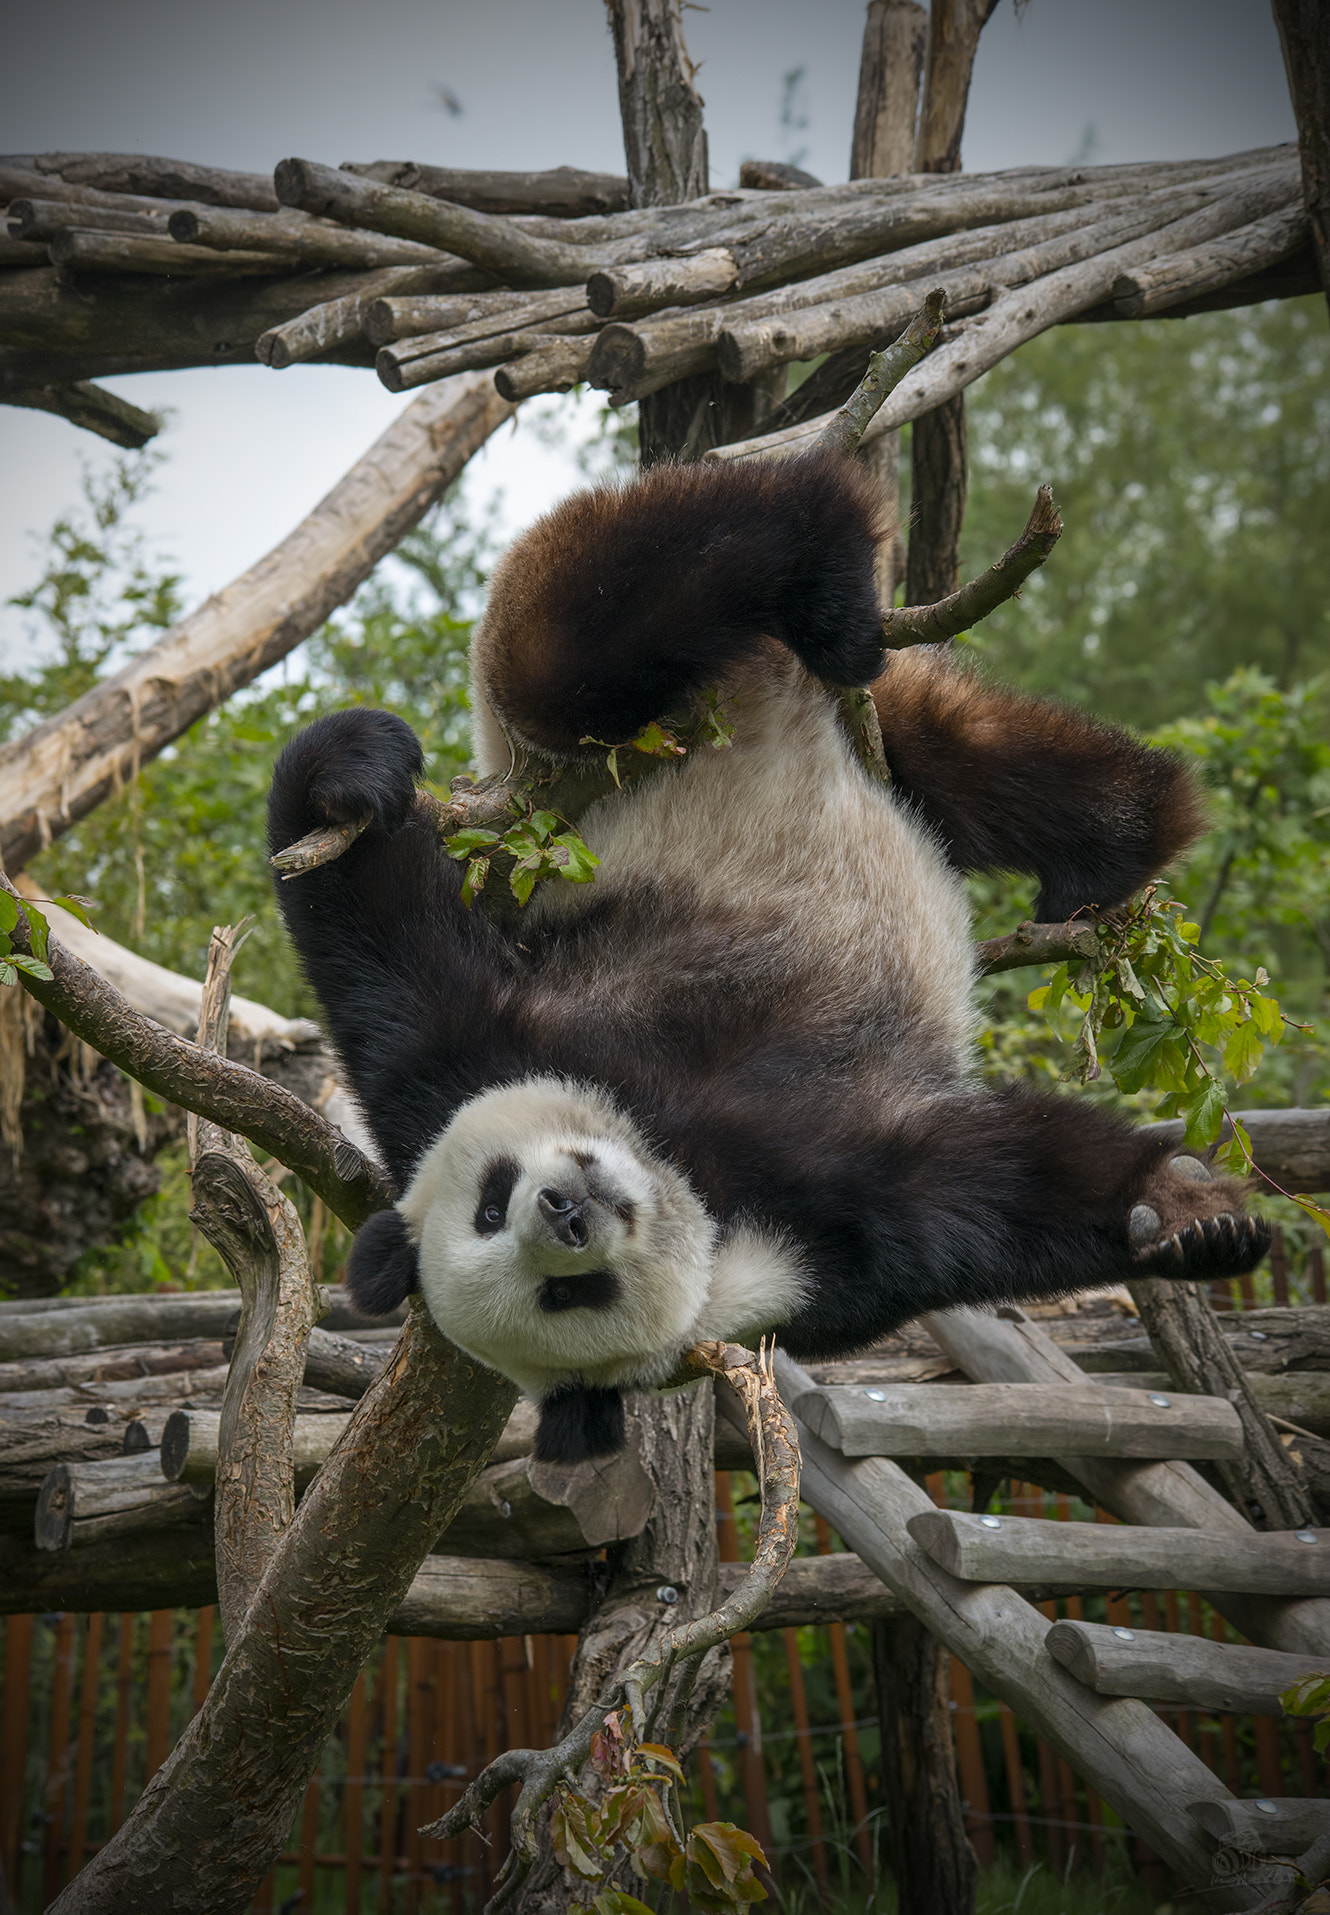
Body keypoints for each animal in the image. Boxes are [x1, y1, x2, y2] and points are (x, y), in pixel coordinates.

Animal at [268, 450, 1270, 1465]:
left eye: (490, 1197)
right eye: (563, 1292)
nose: (567, 1209)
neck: (688, 1173)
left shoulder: (490, 1054)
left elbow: (388, 959)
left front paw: (341, 782)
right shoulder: (824, 1265)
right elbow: (973, 1187)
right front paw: (1182, 1225)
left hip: (618, 733)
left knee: (605, 629)